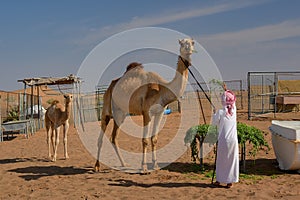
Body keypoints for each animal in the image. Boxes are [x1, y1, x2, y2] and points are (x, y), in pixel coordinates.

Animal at [95, 38, 196, 172]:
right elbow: (145, 140)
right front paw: (143, 167)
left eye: (192, 42)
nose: (188, 49)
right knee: (101, 136)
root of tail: (110, 87)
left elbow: (154, 139)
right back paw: (97, 166)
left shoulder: (160, 113)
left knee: (113, 137)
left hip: (120, 113)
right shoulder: (146, 112)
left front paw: (155, 165)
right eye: (182, 43)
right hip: (107, 108)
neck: (161, 89)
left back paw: (124, 164)